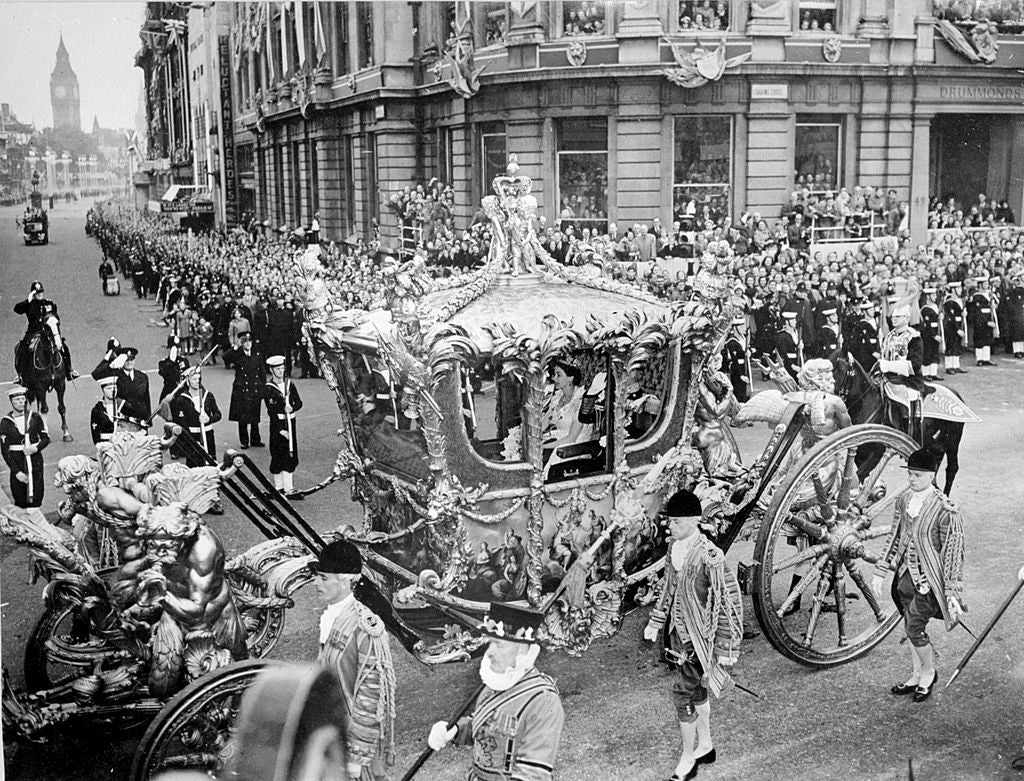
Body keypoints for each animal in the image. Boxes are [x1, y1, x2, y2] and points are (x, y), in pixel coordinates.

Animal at [827, 354, 962, 495]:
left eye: (839, 370)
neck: (867, 403)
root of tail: (956, 394)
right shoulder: (860, 452)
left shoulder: (877, 452)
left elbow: (860, 476)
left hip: (953, 441)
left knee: (952, 468)